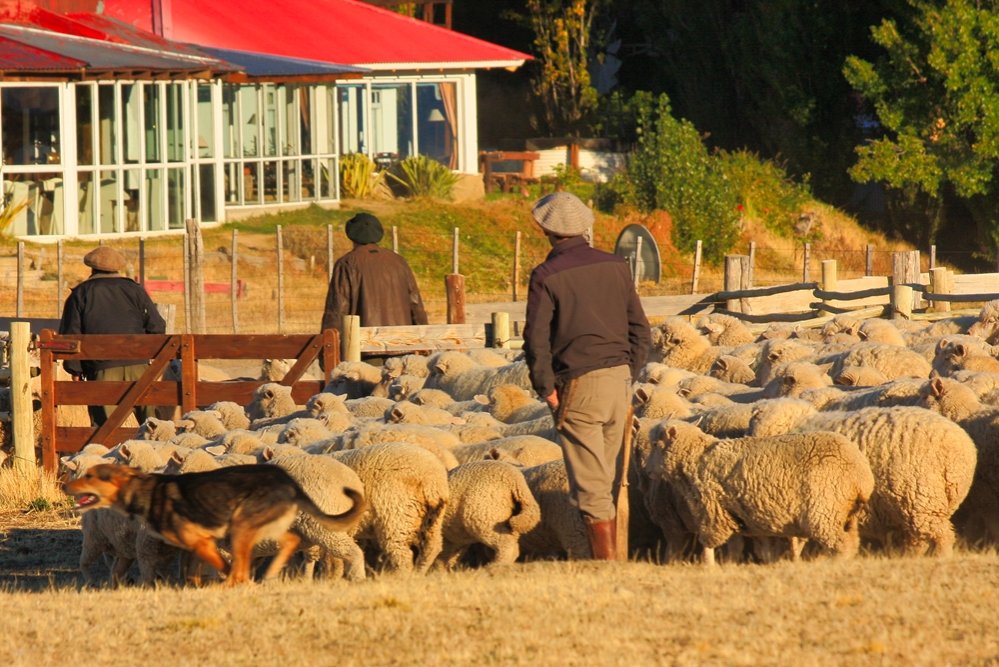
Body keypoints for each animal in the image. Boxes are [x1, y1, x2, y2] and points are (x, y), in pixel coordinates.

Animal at [332, 444, 450, 576]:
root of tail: (432, 480)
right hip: (434, 519)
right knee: (432, 547)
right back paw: (418, 572)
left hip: (396, 516)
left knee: (402, 554)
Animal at [648, 420, 876, 568]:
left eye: (656, 445)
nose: (648, 471)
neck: (696, 459)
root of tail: (862, 476)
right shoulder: (735, 514)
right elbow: (738, 544)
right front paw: (730, 564)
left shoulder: (712, 511)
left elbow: (708, 542)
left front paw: (708, 566)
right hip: (845, 513)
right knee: (852, 541)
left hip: (824, 509)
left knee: (841, 544)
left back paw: (834, 564)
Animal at [752, 402, 976, 560]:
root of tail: (961, 446)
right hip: (920, 506)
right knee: (918, 537)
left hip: (922, 499)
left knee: (941, 536)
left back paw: (941, 557)